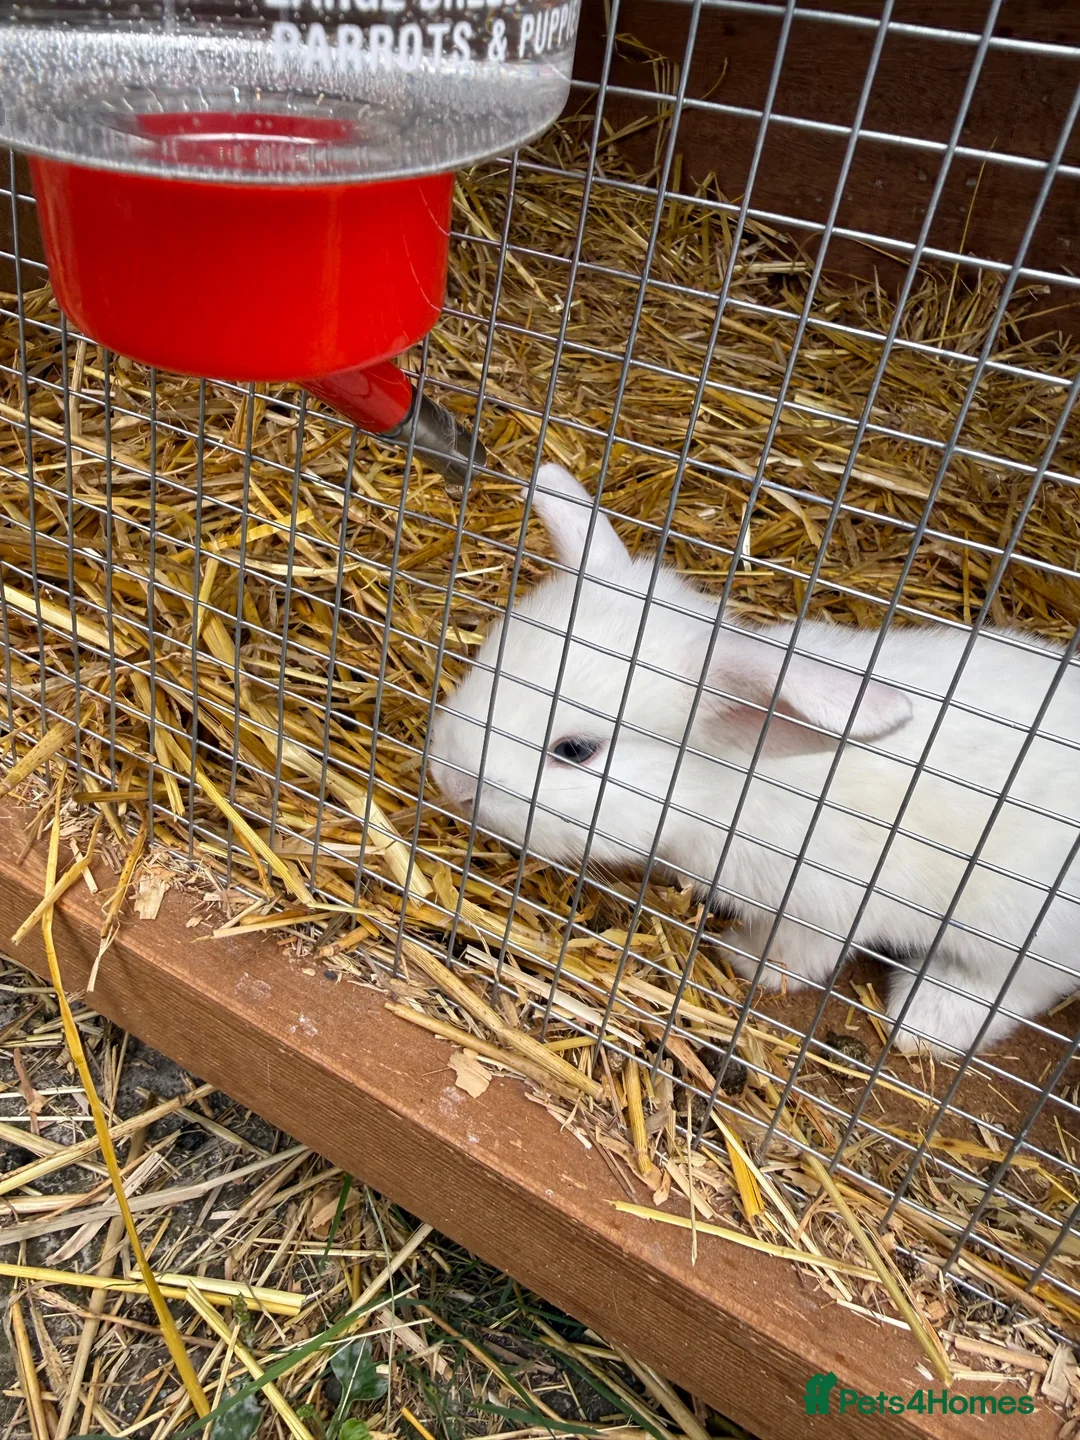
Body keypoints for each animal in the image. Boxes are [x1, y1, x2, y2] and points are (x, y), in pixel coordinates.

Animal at [429, 462, 1080, 1056]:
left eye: (575, 750)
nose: (449, 781)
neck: (728, 789)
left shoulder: (829, 903)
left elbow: (798, 956)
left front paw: (742, 959)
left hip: (1010, 925)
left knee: (1013, 989)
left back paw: (922, 1023)